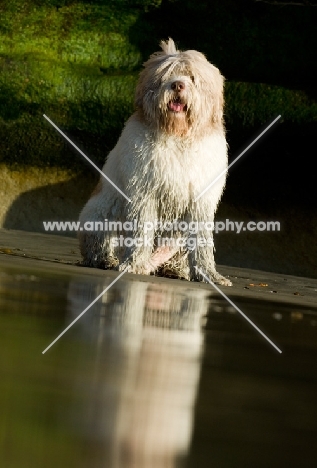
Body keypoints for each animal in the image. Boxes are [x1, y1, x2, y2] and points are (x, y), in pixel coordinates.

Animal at [78, 38, 231, 286]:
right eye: (166, 76)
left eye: (192, 77)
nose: (177, 85)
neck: (178, 136)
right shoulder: (144, 194)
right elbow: (141, 230)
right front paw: (135, 264)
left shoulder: (201, 201)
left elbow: (202, 242)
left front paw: (209, 274)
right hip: (100, 214)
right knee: (99, 245)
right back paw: (107, 260)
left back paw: (175, 270)